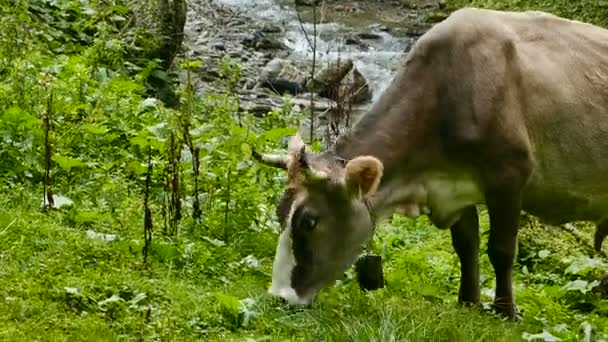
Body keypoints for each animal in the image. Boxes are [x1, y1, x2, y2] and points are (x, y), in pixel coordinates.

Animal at [254, 6, 608, 320]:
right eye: (280, 213)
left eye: (309, 221)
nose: (279, 297)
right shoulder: (456, 187)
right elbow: (466, 246)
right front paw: (468, 302)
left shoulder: (509, 175)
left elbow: (501, 249)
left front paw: (505, 312)